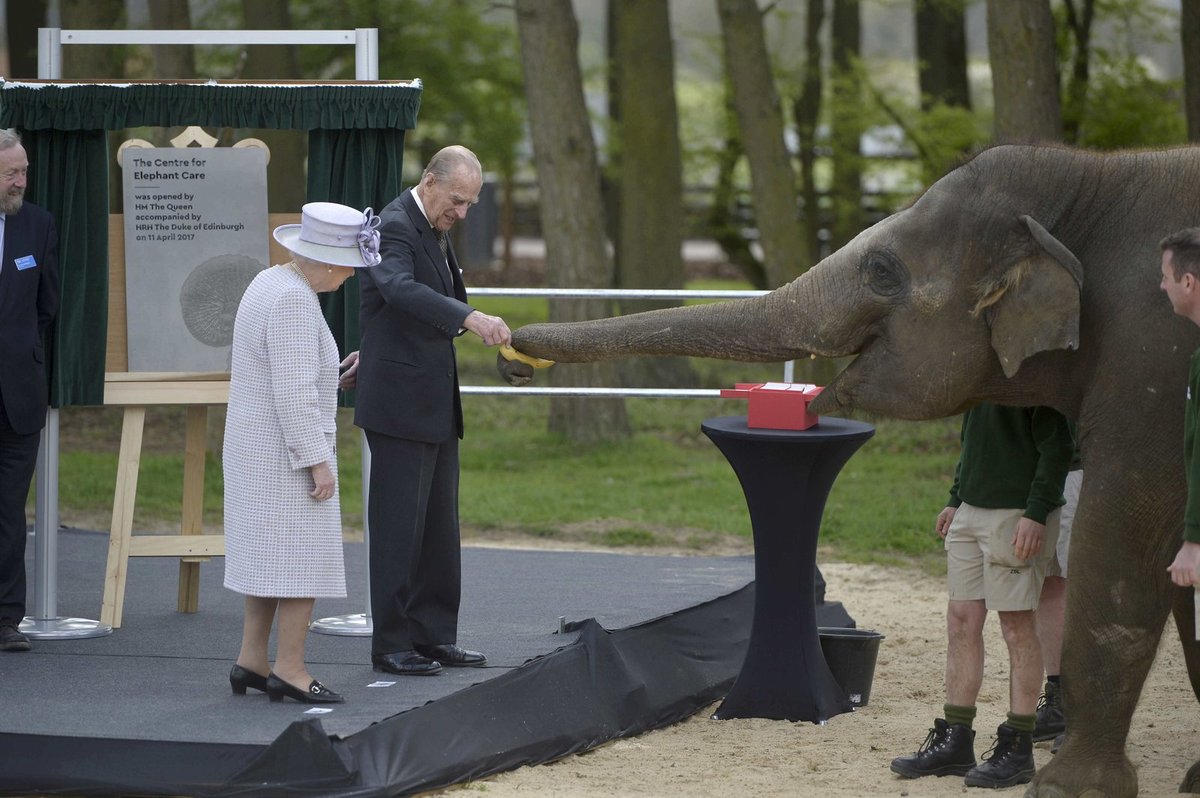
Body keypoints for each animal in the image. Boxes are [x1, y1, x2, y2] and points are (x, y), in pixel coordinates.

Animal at [501, 144, 1200, 796]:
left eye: (882, 270)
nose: (513, 355)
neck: (1094, 179)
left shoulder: (1152, 368)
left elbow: (1123, 543)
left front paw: (1068, 788)